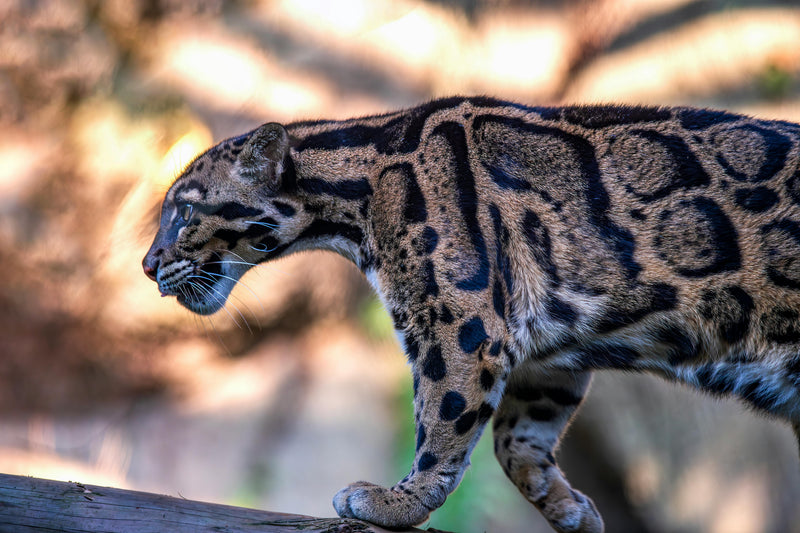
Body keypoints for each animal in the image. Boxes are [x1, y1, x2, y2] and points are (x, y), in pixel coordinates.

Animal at [143, 96, 800, 533]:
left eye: (184, 211)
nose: (147, 266)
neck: (355, 197)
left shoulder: (461, 322)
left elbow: (443, 417)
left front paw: (398, 502)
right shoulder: (544, 358)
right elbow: (517, 440)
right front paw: (568, 508)